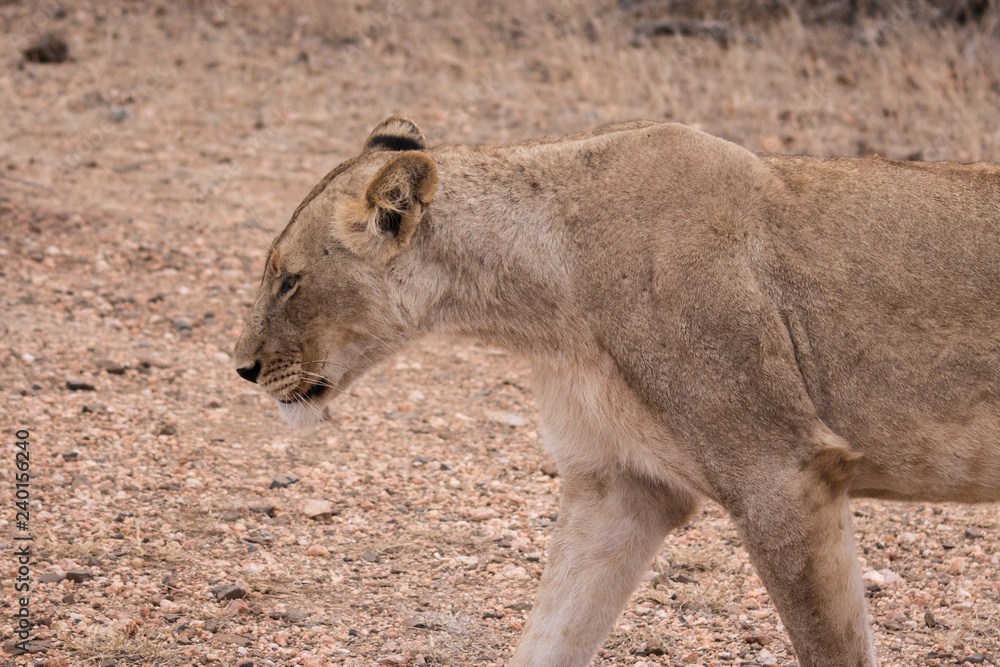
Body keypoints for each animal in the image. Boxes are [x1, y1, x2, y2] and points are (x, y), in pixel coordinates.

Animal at [234, 116, 1000, 666]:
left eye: (290, 279)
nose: (241, 366)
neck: (545, 304)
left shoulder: (782, 472)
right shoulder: (620, 486)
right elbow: (551, 634)